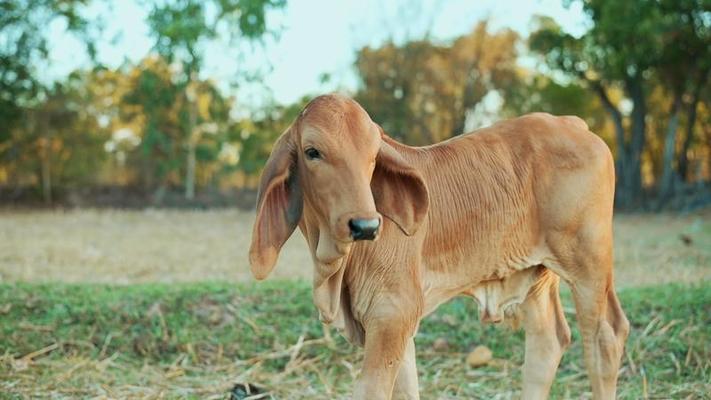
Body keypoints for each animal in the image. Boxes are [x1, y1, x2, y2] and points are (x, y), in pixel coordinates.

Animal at [249, 94, 628, 400]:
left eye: (372, 156)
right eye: (312, 152)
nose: (365, 226)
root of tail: (573, 123)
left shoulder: (392, 312)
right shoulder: (396, 324)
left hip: (589, 264)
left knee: (605, 337)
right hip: (536, 274)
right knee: (548, 341)